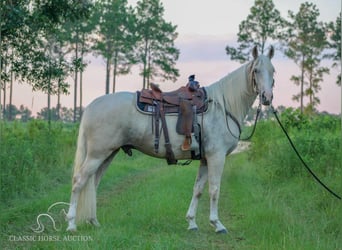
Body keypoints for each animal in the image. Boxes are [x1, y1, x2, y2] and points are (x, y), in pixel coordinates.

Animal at [66, 46, 276, 233]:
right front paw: (217, 224)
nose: (267, 97)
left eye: (273, 71)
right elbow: (214, 189)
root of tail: (92, 105)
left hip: (108, 154)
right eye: (256, 70)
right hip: (97, 154)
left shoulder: (205, 158)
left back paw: (93, 221)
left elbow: (198, 189)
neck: (223, 106)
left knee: (93, 184)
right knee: (79, 181)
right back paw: (71, 224)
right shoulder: (216, 157)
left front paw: (192, 222)